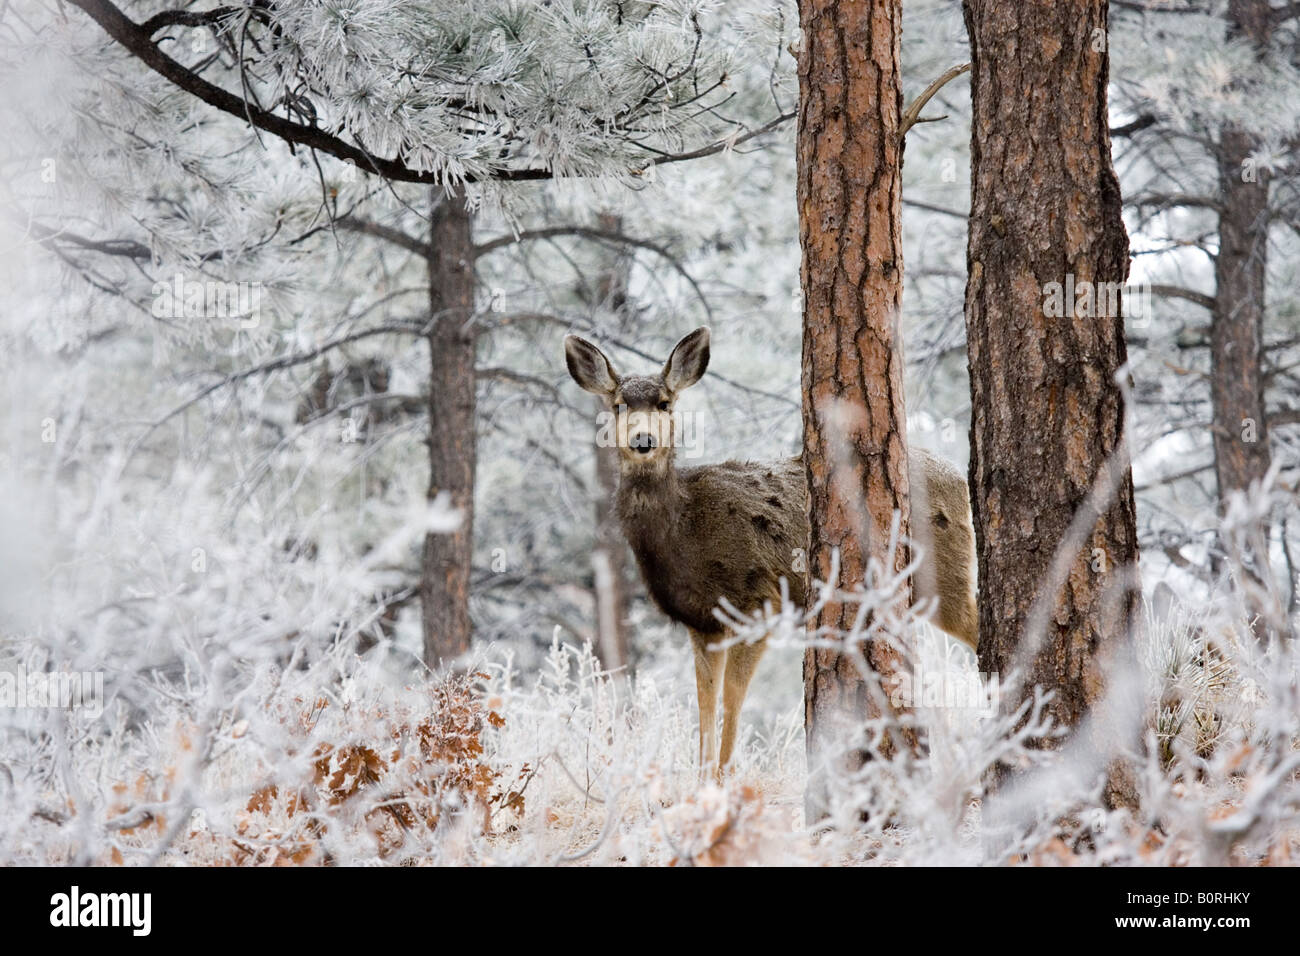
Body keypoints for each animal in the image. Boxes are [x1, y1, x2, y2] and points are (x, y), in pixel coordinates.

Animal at [564, 329, 977, 780]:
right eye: (619, 404)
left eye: (664, 403)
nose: (643, 441)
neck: (685, 528)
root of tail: (961, 479)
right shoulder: (702, 623)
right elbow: (705, 700)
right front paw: (700, 780)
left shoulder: (759, 603)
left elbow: (733, 698)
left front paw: (724, 780)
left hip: (945, 577)